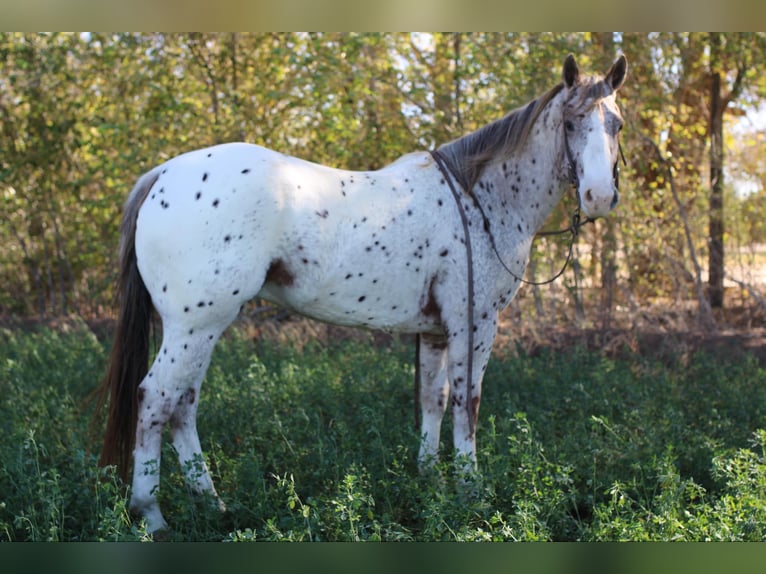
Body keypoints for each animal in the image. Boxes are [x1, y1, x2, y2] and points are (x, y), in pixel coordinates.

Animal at [96, 53, 627, 533]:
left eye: (616, 124)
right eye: (571, 121)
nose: (600, 197)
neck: (479, 197)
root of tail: (164, 174)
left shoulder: (436, 331)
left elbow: (434, 398)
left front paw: (429, 480)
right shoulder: (474, 324)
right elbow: (467, 403)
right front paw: (470, 492)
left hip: (199, 329)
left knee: (182, 405)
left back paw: (212, 504)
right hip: (195, 326)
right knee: (155, 399)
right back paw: (152, 515)